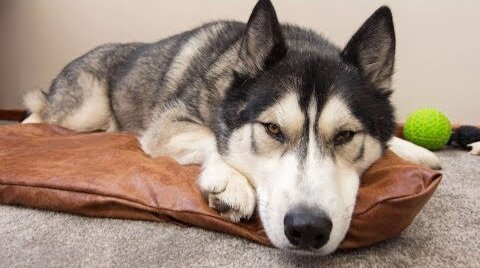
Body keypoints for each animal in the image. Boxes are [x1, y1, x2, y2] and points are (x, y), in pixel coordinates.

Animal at [23, 0, 442, 255]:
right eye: (272, 129)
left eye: (345, 136)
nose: (307, 229)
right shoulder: (167, 125)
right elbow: (214, 137)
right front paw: (230, 180)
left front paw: (415, 150)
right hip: (83, 111)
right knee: (40, 109)